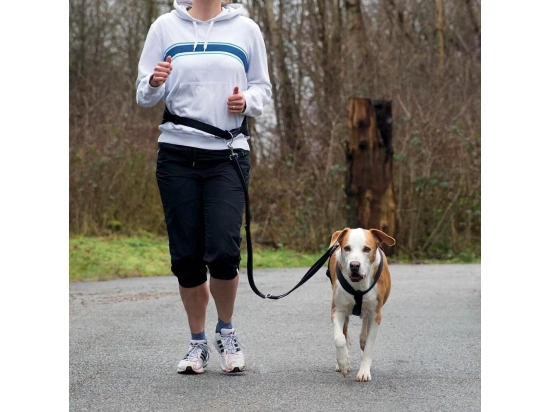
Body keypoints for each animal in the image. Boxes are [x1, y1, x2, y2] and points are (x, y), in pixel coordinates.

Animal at [328, 227, 396, 382]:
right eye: (347, 248)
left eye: (366, 249)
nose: (354, 265)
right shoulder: (338, 310)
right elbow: (339, 338)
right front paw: (344, 363)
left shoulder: (376, 315)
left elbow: (370, 346)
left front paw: (364, 372)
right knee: (345, 332)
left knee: (365, 320)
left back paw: (363, 338)